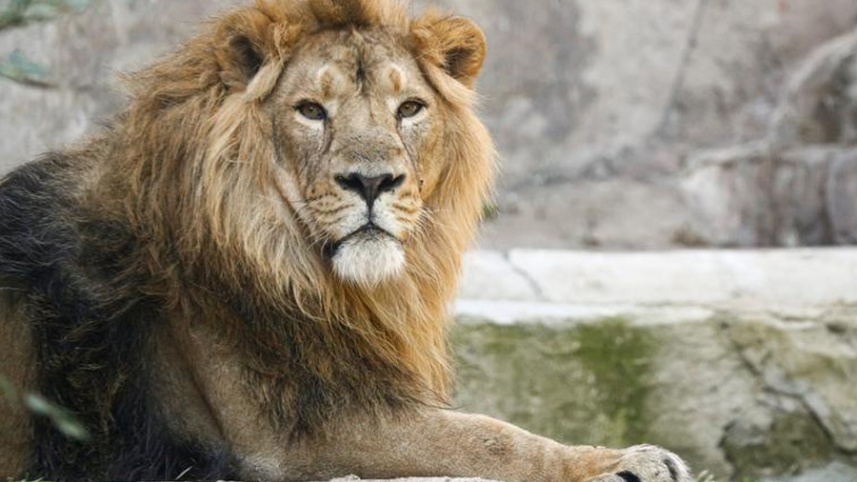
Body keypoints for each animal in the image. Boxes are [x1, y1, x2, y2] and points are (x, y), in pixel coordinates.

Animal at [0, 1, 693, 480]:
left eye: (409, 109)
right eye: (311, 110)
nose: (372, 181)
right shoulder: (286, 440)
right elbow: (486, 436)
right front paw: (624, 461)